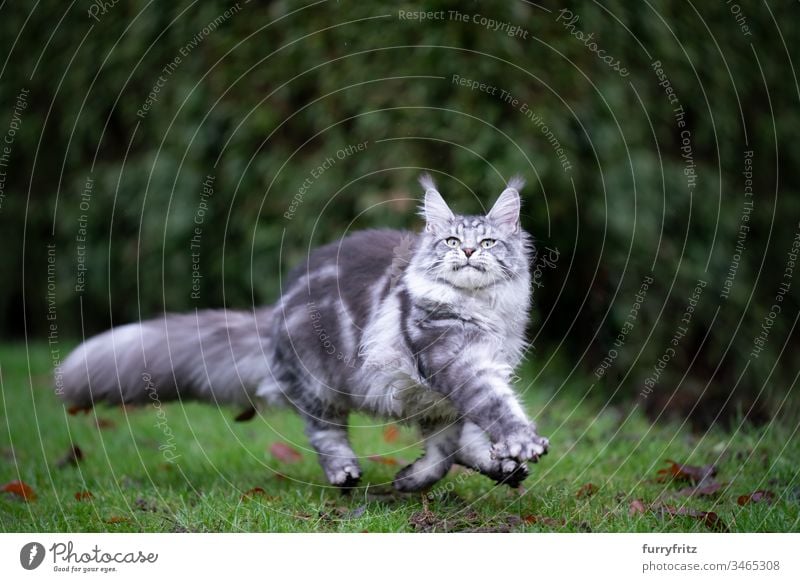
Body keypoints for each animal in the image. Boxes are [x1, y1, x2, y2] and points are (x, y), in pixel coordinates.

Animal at [61, 177, 552, 492]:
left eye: (487, 243)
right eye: (451, 241)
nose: (467, 251)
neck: (479, 309)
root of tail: (277, 310)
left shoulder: (446, 390)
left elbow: (452, 446)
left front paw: (423, 475)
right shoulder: (454, 362)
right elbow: (482, 417)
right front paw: (519, 443)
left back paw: (502, 469)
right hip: (322, 385)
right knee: (324, 433)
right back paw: (344, 473)